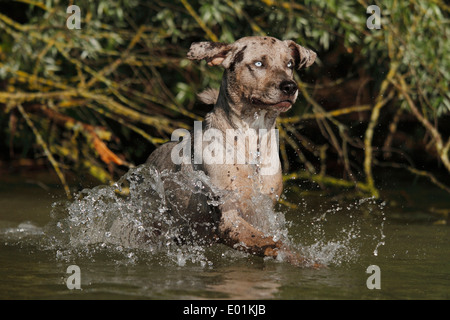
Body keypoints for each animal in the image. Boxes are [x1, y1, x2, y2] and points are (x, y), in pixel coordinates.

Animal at [148, 35, 316, 266]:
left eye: (289, 64)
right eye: (258, 64)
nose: (290, 86)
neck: (252, 143)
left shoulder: (263, 209)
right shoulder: (229, 217)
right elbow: (271, 242)